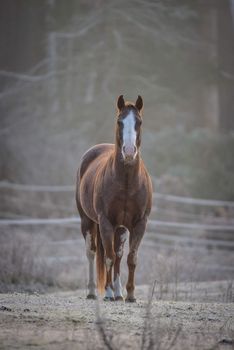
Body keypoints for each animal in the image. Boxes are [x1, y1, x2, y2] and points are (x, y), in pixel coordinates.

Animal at [76, 95, 153, 300]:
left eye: (139, 122)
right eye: (120, 122)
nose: (129, 151)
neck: (126, 182)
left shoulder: (139, 223)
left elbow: (131, 258)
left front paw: (131, 295)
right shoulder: (105, 221)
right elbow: (108, 257)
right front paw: (109, 293)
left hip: (120, 228)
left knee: (118, 254)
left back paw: (118, 292)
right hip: (88, 221)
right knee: (93, 253)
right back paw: (95, 292)